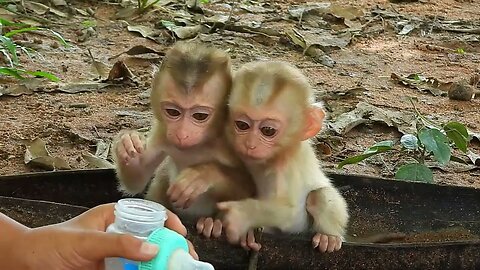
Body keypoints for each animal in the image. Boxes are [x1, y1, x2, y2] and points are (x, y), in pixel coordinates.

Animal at [111, 41, 255, 237]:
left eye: (200, 116)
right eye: (173, 112)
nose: (182, 134)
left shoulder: (236, 136)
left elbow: (252, 190)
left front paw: (202, 175)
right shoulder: (162, 131)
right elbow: (136, 178)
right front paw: (128, 144)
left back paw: (212, 223)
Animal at [218, 60, 348, 253]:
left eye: (268, 130)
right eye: (242, 125)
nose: (250, 144)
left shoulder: (287, 166)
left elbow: (291, 213)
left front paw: (242, 215)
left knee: (319, 197)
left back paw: (329, 237)